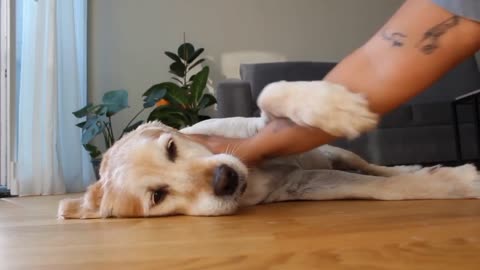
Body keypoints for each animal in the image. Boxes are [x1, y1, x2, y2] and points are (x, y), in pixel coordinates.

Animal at [59, 80, 480, 219]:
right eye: (157, 196)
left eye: (172, 147)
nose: (225, 178)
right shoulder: (306, 183)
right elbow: (381, 190)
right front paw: (458, 182)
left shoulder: (263, 126)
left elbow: (270, 92)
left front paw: (336, 104)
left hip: (338, 152)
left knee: (378, 167)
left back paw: (407, 165)